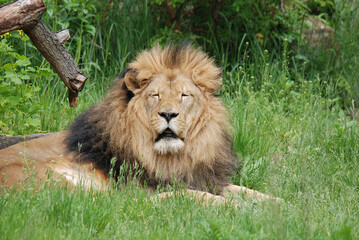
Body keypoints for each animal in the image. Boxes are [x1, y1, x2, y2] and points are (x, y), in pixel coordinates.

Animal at [0, 44, 280, 204]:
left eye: (184, 95)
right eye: (155, 95)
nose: (168, 114)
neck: (176, 157)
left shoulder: (203, 178)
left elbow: (245, 190)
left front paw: (279, 203)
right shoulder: (146, 188)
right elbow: (198, 195)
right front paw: (231, 207)